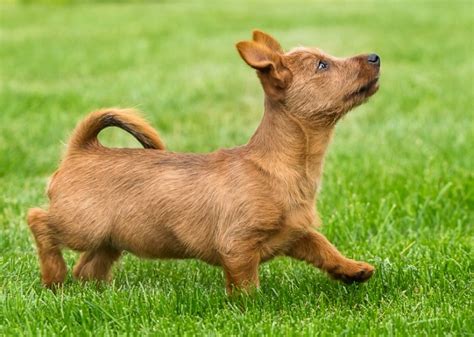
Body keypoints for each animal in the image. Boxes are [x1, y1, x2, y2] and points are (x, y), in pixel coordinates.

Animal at [26, 30, 382, 292]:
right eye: (322, 65)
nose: (375, 56)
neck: (281, 165)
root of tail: (82, 148)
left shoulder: (294, 233)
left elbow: (323, 246)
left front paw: (352, 269)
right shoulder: (238, 245)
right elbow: (246, 283)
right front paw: (250, 307)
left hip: (110, 238)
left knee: (87, 267)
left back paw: (98, 291)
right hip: (82, 224)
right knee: (39, 221)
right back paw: (54, 277)